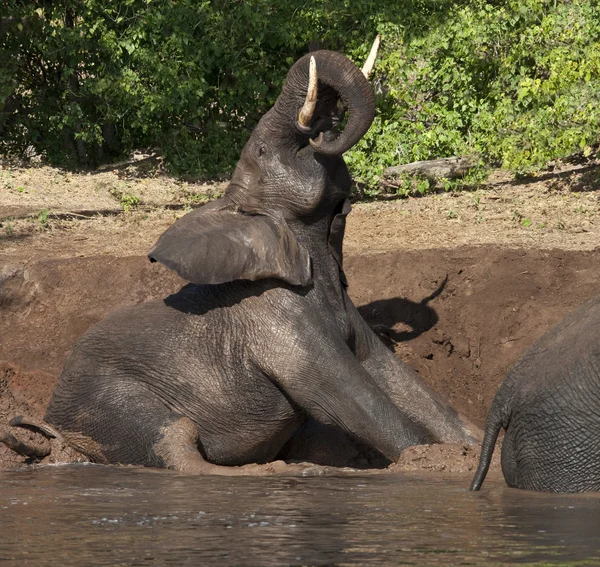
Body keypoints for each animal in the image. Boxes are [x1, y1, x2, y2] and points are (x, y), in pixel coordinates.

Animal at [4, 48, 480, 474]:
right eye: (265, 149)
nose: (323, 125)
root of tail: (56, 425)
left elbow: (403, 383)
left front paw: (475, 446)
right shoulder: (275, 320)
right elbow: (354, 403)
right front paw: (443, 464)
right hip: (108, 402)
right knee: (177, 442)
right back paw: (296, 471)